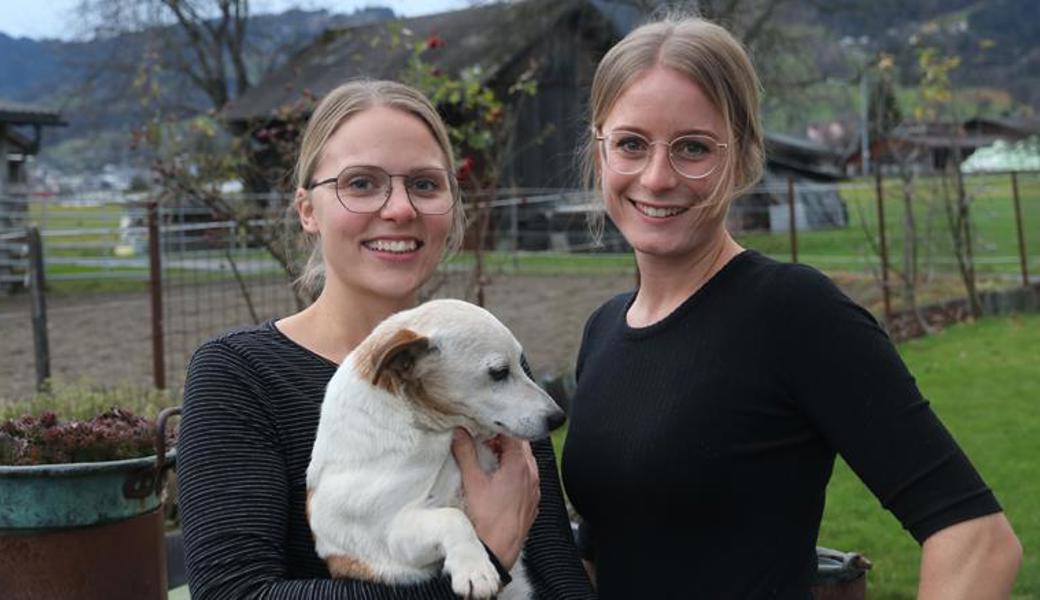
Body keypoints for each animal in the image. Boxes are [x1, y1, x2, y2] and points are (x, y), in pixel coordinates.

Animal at [305, 297, 569, 594]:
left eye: (521, 364)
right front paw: (475, 568)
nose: (559, 418)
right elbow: (452, 517)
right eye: (499, 373)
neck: (429, 429)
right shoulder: (392, 535)